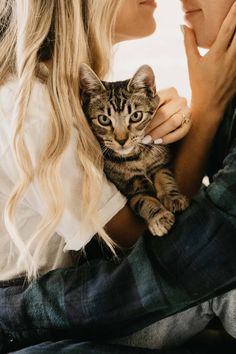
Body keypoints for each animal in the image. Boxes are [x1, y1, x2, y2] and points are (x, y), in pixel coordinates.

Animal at [79, 64, 188, 235]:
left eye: (136, 116)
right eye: (104, 119)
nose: (121, 140)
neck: (137, 156)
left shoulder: (160, 164)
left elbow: (165, 177)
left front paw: (173, 198)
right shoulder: (131, 191)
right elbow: (144, 201)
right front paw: (159, 217)